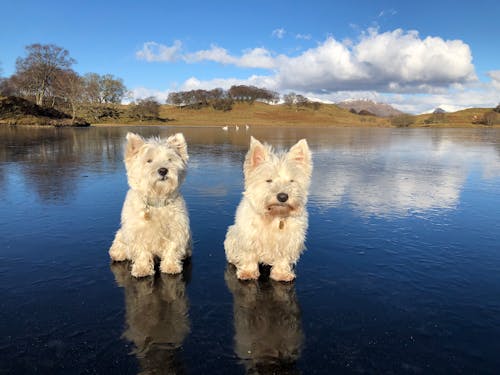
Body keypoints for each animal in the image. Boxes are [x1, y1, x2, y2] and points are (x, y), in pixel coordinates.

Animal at [110, 134, 191, 278]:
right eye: (149, 161)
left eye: (170, 159)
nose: (163, 170)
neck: (157, 201)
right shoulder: (137, 232)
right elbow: (141, 251)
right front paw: (142, 269)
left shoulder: (176, 230)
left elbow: (173, 248)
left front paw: (171, 266)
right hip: (121, 235)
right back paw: (117, 253)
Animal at [224, 137, 310, 282]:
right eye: (269, 180)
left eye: (292, 180)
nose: (282, 196)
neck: (274, 215)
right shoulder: (248, 237)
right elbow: (248, 255)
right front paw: (248, 272)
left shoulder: (288, 240)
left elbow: (283, 259)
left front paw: (281, 274)